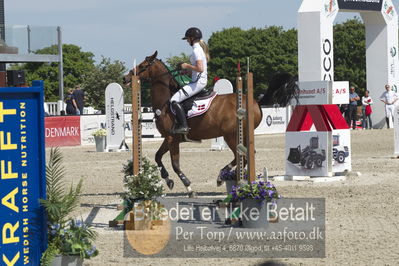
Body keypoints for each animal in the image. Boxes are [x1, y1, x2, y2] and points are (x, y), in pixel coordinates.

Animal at [123, 51, 298, 197]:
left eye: (143, 66)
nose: (125, 78)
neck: (166, 102)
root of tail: (255, 102)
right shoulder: (169, 138)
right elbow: (157, 157)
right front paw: (168, 181)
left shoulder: (173, 139)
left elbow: (175, 164)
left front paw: (189, 187)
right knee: (246, 155)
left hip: (231, 136)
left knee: (242, 156)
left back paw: (223, 177)